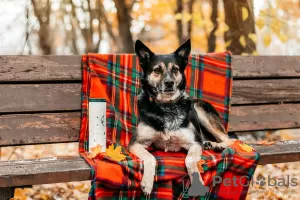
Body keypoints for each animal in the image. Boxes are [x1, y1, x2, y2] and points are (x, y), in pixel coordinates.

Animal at [128, 39, 234, 195]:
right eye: (157, 70)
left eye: (175, 69)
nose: (169, 83)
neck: (166, 106)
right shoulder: (135, 143)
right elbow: (150, 157)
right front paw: (147, 182)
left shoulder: (195, 143)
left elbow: (189, 160)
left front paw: (197, 182)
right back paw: (210, 144)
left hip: (199, 108)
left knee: (231, 139)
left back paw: (218, 145)